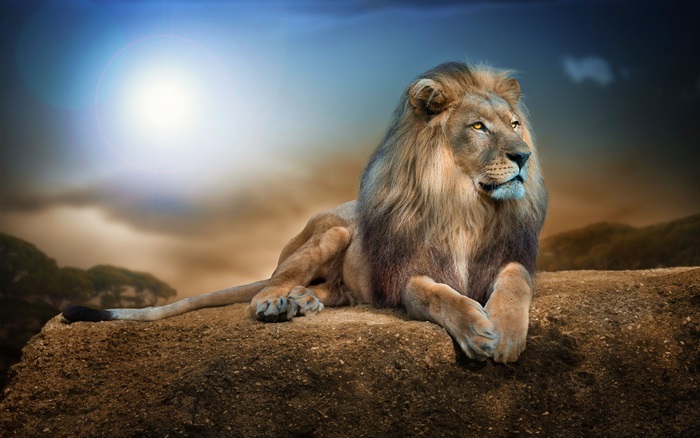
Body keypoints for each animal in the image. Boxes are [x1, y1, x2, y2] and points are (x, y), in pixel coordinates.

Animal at [64, 62, 548, 363]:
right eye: (478, 127)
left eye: (515, 124)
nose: (523, 156)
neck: (466, 205)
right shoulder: (407, 275)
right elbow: (438, 295)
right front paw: (477, 329)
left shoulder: (509, 257)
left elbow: (515, 282)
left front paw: (504, 332)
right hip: (332, 233)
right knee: (268, 285)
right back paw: (278, 303)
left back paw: (303, 301)